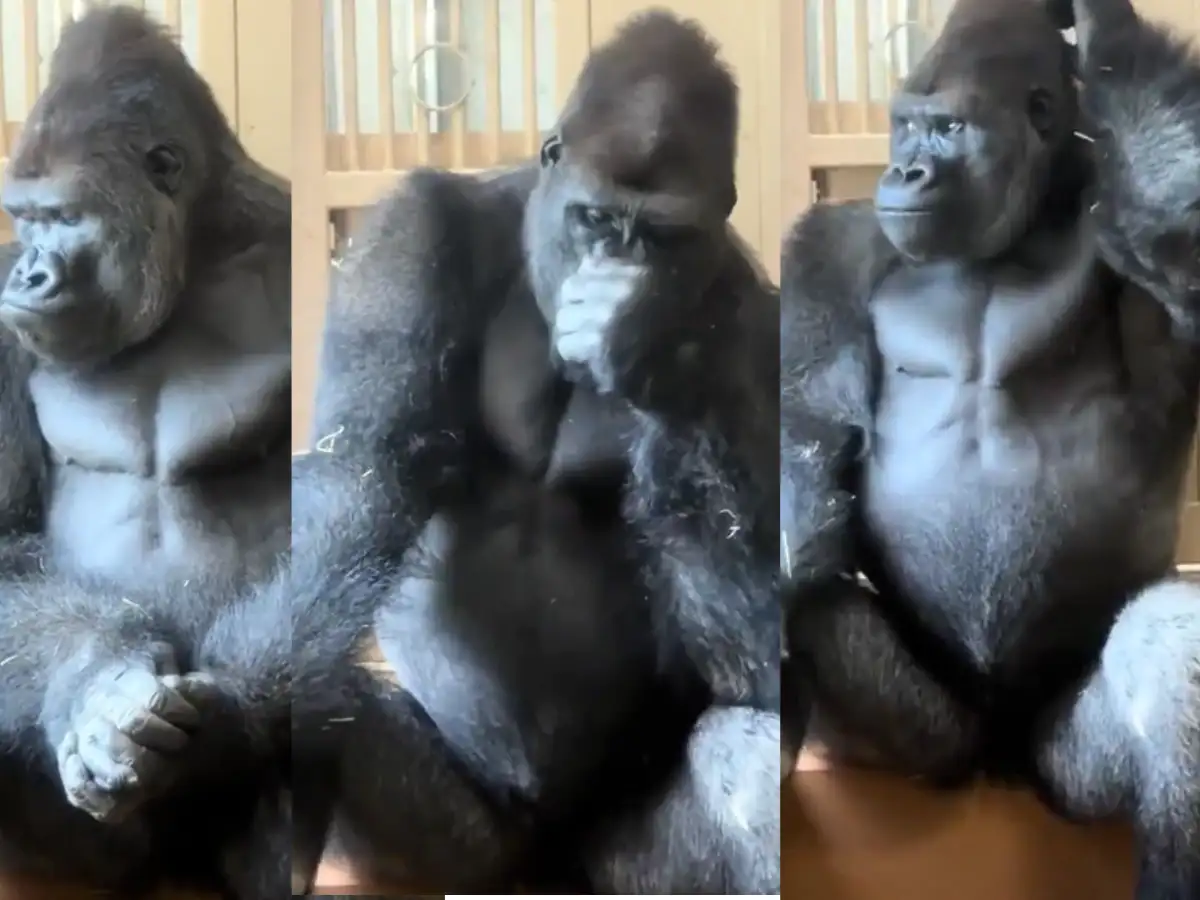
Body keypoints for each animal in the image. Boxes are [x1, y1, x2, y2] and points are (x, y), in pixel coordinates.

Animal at [289, 10, 780, 895]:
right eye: (595, 219)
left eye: (662, 235)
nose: (617, 267)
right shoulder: (410, 232)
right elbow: (361, 468)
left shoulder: (752, 312)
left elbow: (764, 644)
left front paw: (648, 345)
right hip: (481, 852)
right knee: (326, 712)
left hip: (618, 864)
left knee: (749, 763)